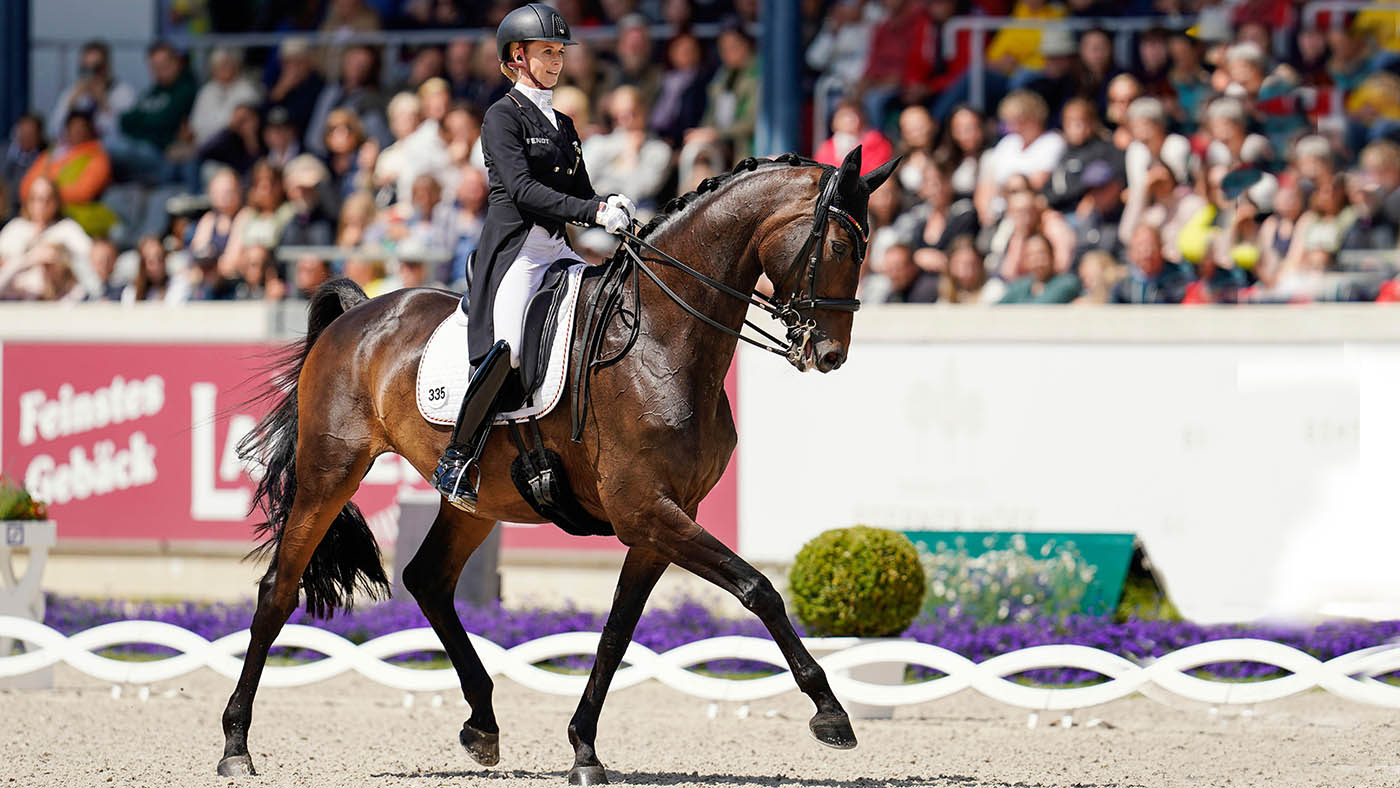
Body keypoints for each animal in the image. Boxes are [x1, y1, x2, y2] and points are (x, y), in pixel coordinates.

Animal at [218, 146, 896, 783]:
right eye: (841, 244)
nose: (829, 354)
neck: (664, 339)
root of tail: (362, 312)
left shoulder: (661, 520)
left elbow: (618, 631)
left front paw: (584, 749)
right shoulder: (647, 511)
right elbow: (759, 589)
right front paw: (831, 713)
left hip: (476, 500)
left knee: (429, 579)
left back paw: (482, 725)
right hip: (330, 472)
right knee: (278, 589)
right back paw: (235, 746)